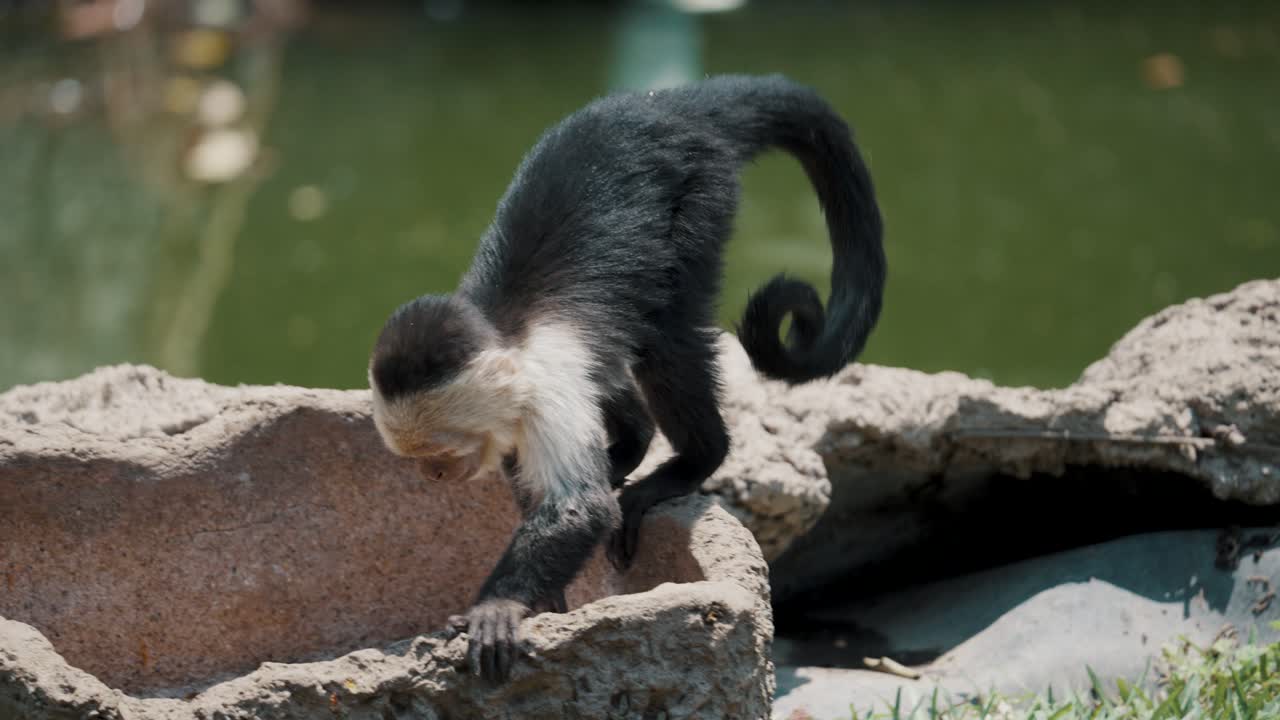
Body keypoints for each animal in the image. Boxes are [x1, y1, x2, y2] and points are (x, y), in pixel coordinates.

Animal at [367, 73, 886, 683]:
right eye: (419, 459)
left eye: (440, 453)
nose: (432, 476)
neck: (506, 335)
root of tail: (670, 104)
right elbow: (542, 480)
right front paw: (543, 599)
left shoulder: (545, 394)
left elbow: (581, 507)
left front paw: (498, 607)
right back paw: (632, 447)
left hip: (701, 190)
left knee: (667, 339)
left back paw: (694, 461)